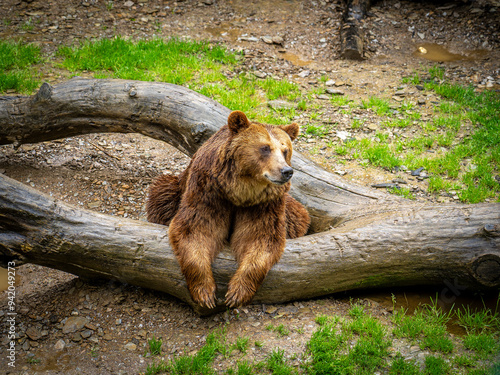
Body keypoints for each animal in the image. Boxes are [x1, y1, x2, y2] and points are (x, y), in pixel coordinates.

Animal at [146, 111, 308, 308]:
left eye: (285, 150)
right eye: (265, 148)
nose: (286, 171)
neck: (240, 191)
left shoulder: (264, 203)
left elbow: (261, 238)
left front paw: (237, 293)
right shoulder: (208, 192)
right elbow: (195, 230)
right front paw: (205, 293)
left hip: (291, 209)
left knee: (299, 218)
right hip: (175, 189)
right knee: (162, 195)